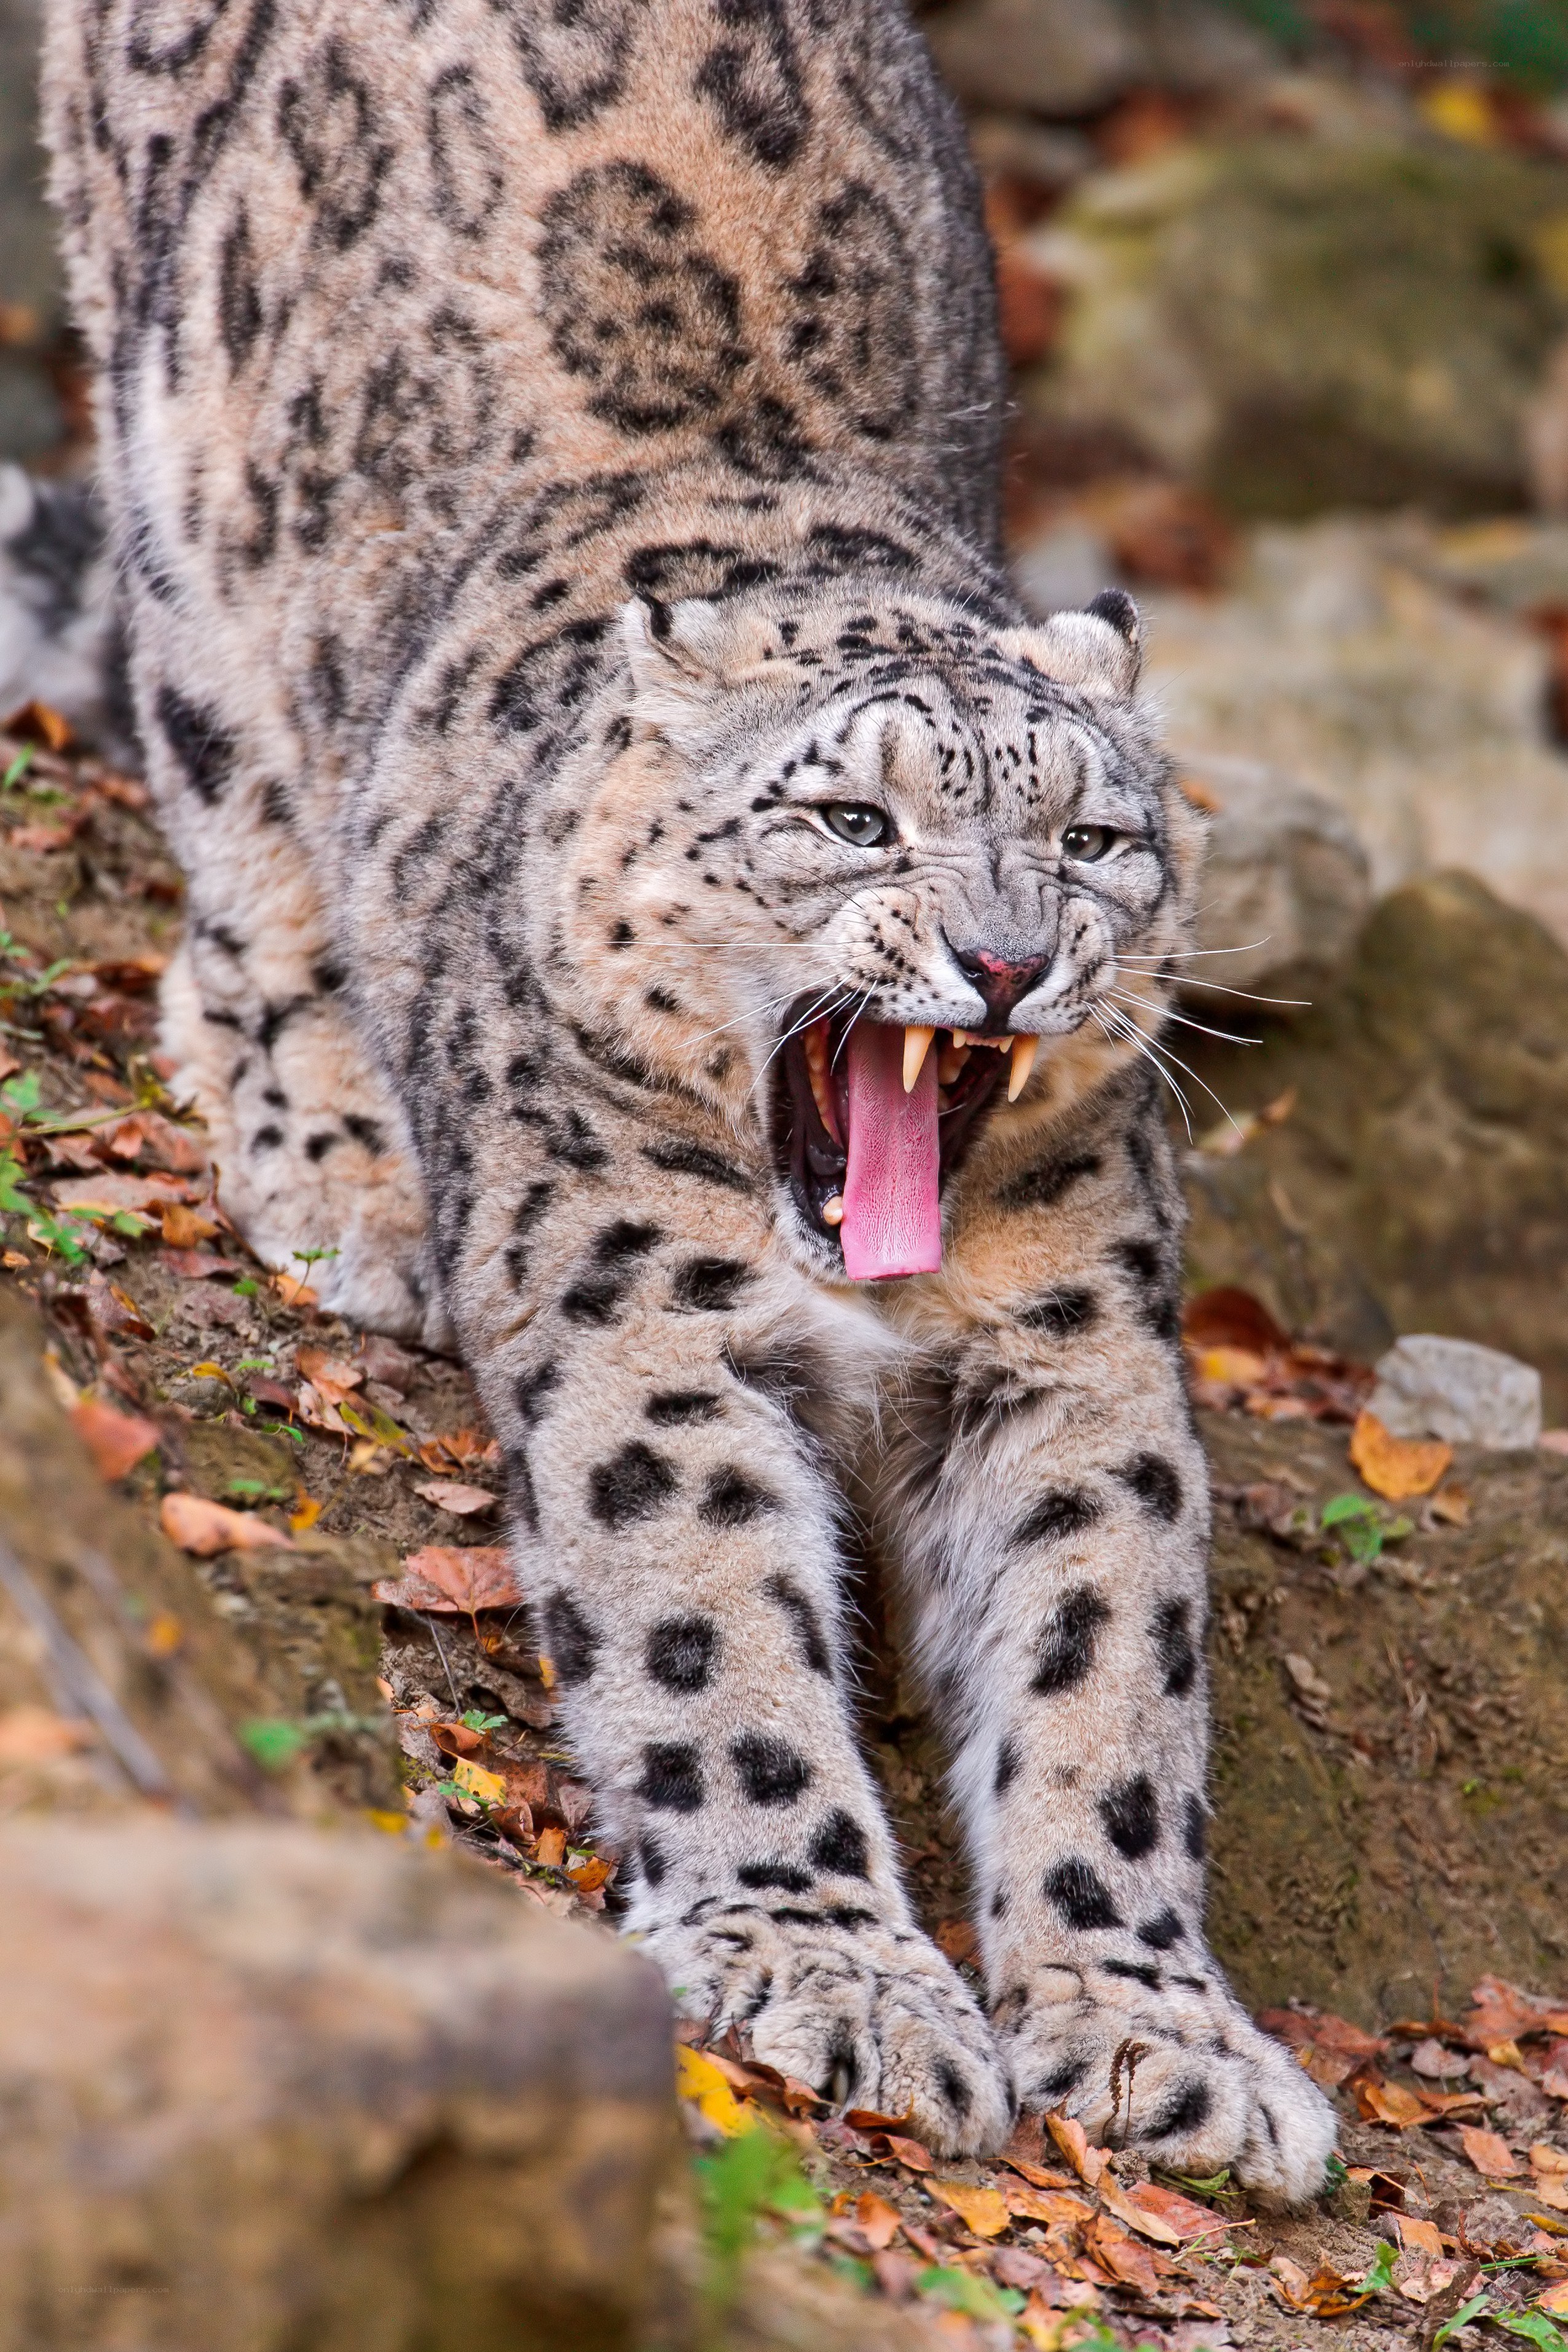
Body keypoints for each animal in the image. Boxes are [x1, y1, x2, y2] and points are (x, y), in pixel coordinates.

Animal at [40, 0, 1336, 2191]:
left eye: (1090, 840)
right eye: (848, 818)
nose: (1008, 960)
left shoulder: (1071, 1354)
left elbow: (1106, 1663)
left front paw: (1151, 2028)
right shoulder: (641, 1311)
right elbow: (706, 1627)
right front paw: (837, 1970)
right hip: (185, 479)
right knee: (229, 828)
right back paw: (338, 1160)